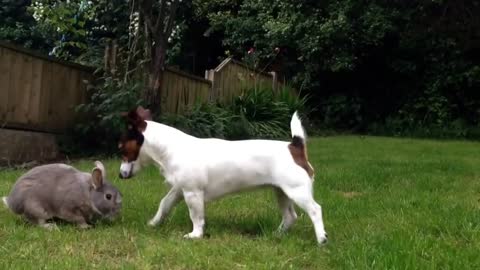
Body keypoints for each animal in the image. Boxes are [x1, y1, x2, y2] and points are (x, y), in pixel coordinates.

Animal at [118, 106, 328, 244]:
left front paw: (195, 235)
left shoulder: (192, 193)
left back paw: (321, 239)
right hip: (282, 192)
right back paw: (276, 235)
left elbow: (196, 216)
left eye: (121, 148)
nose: (119, 175)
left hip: (297, 191)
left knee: (315, 209)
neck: (170, 148)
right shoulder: (179, 190)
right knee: (290, 216)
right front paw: (154, 223)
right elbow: (164, 204)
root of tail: (295, 146)